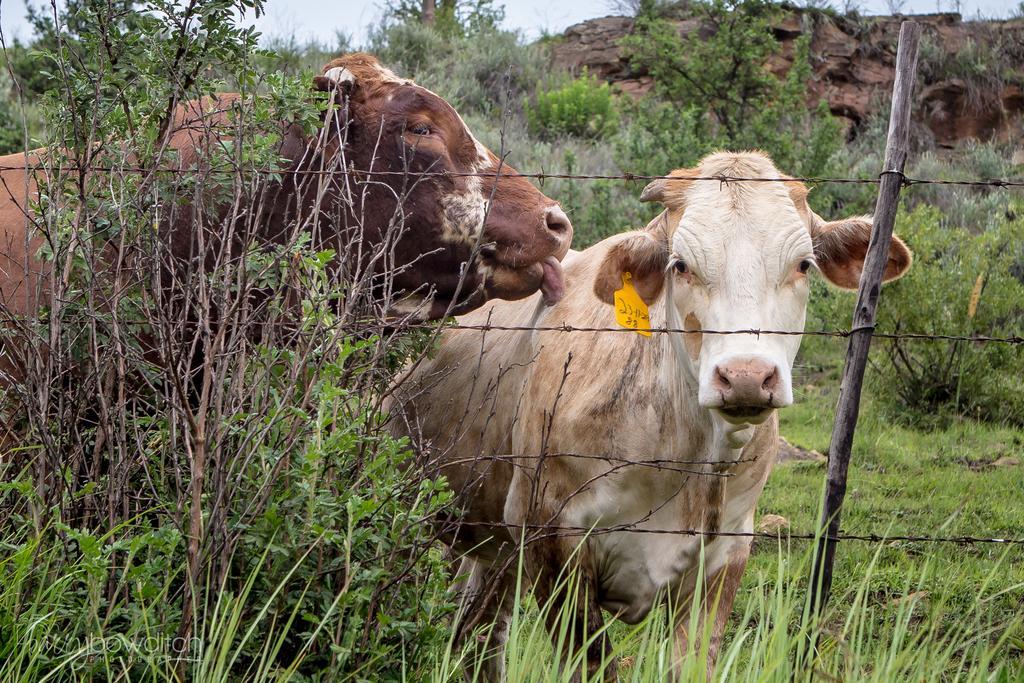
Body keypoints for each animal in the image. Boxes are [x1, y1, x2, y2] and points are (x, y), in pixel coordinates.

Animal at [385, 152, 913, 679]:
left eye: (803, 264)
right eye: (681, 265)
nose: (745, 376)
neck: (688, 461)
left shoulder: (725, 556)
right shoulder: (550, 540)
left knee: (480, 630)